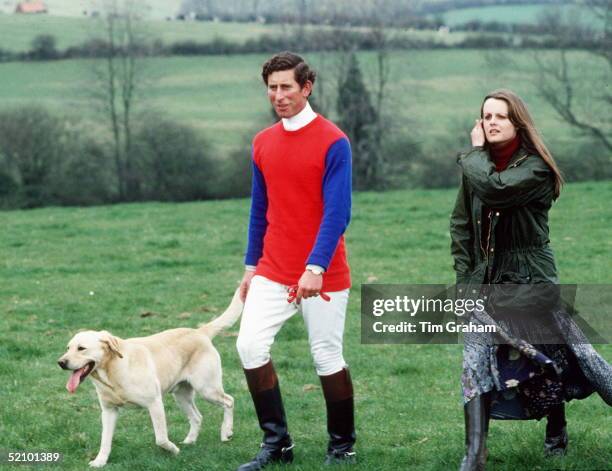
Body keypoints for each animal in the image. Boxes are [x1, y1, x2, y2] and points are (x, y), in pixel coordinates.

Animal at [58, 290, 244, 466]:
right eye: (67, 348)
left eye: (81, 348)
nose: (60, 362)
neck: (112, 373)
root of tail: (199, 332)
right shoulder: (109, 411)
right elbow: (105, 441)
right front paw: (100, 461)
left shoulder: (154, 403)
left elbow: (161, 438)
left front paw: (173, 450)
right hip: (181, 396)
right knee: (197, 417)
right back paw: (189, 441)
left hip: (207, 389)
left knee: (229, 401)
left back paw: (226, 431)